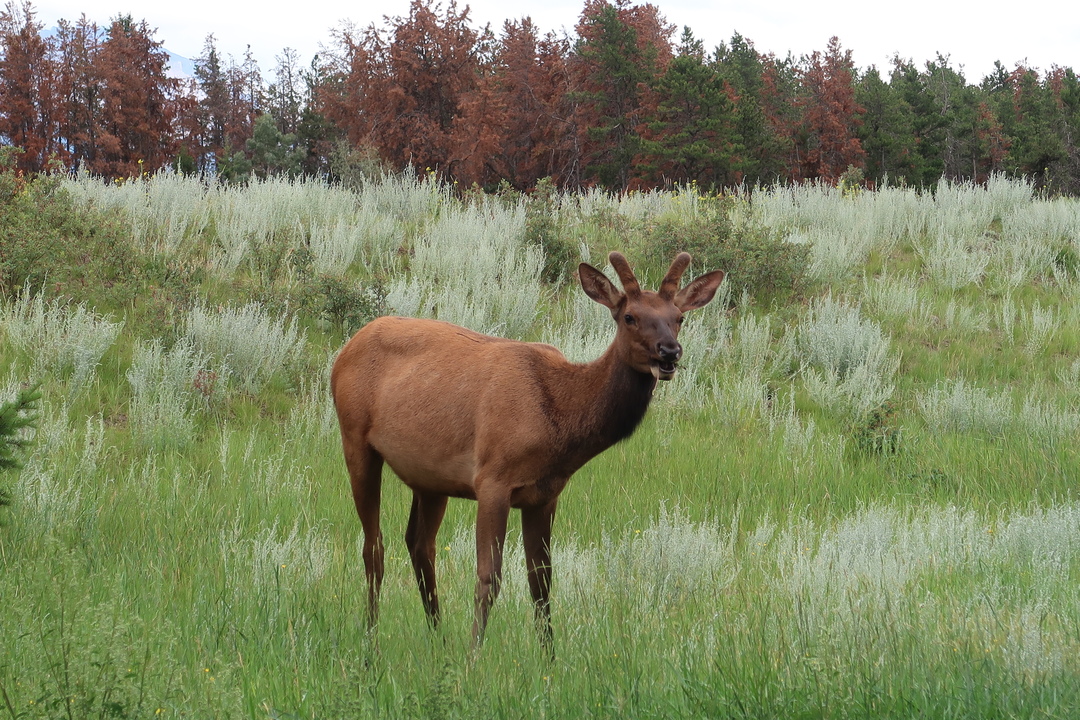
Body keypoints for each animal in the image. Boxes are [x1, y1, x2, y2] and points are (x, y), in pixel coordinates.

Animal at [328, 253, 725, 647]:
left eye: (678, 318)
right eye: (629, 317)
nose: (669, 352)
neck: (559, 425)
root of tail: (346, 348)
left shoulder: (545, 494)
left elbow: (542, 581)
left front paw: (548, 656)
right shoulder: (492, 479)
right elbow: (489, 577)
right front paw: (474, 654)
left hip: (430, 477)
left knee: (419, 543)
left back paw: (438, 640)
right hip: (355, 439)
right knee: (374, 547)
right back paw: (371, 640)